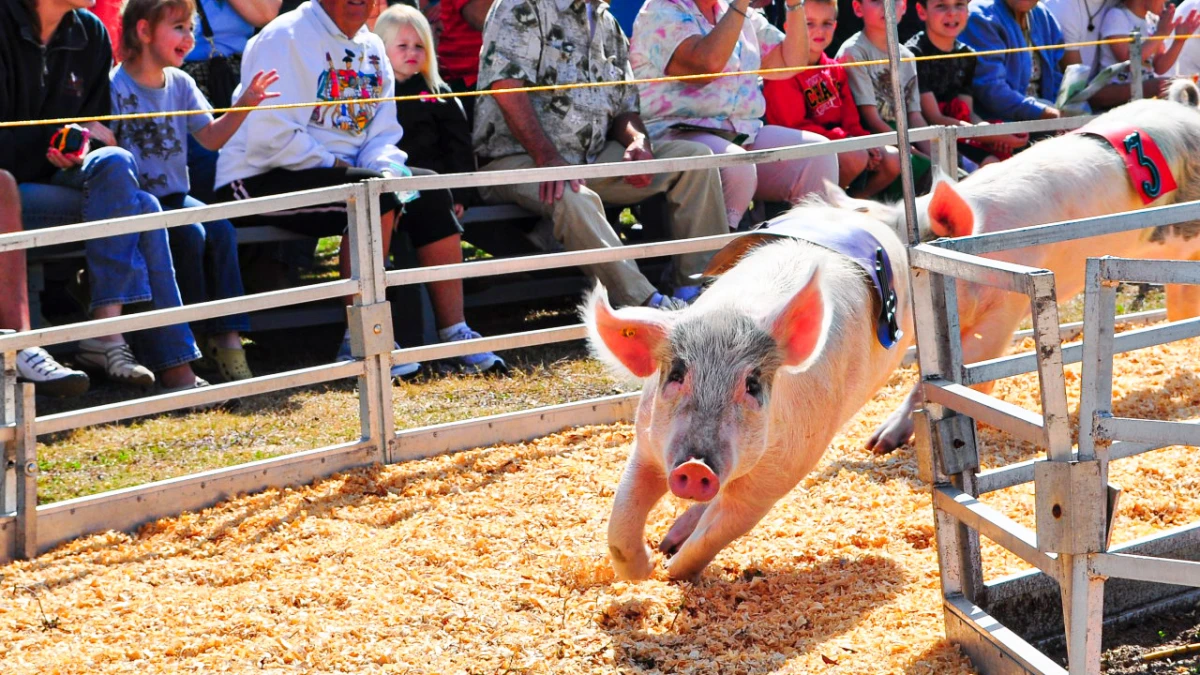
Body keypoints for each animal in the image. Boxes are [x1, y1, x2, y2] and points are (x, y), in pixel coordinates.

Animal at [585, 201, 912, 576]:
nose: (694, 467)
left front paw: (669, 572)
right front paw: (646, 570)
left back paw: (879, 444)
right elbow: (621, 522)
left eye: (752, 385)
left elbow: (717, 533)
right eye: (677, 374)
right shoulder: (648, 440)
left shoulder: (778, 476)